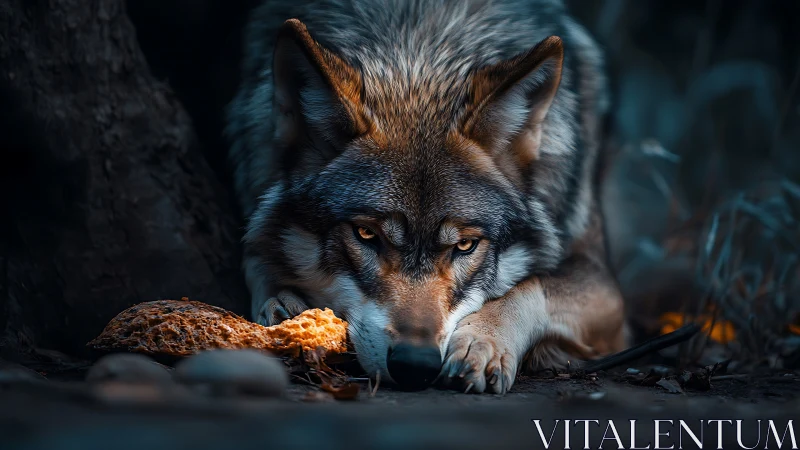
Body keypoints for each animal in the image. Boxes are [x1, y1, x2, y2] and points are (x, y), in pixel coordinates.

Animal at [225, 0, 627, 393]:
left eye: (465, 246)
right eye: (366, 234)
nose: (415, 364)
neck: (419, 52)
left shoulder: (602, 284)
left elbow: (529, 287)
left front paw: (483, 342)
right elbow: (255, 254)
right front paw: (280, 304)